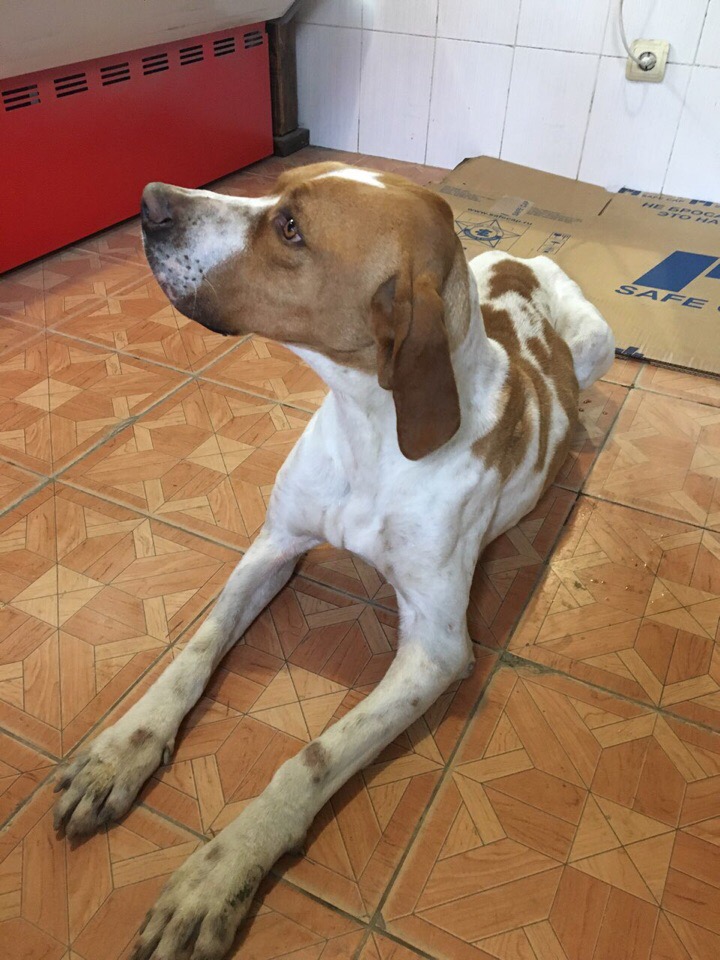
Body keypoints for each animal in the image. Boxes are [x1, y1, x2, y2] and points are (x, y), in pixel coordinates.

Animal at [53, 162, 614, 960]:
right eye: (277, 188)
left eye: (291, 229)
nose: (149, 199)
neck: (370, 426)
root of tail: (525, 260)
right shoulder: (273, 544)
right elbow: (194, 651)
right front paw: (120, 752)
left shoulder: (435, 651)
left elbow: (313, 758)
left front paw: (218, 874)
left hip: (599, 343)